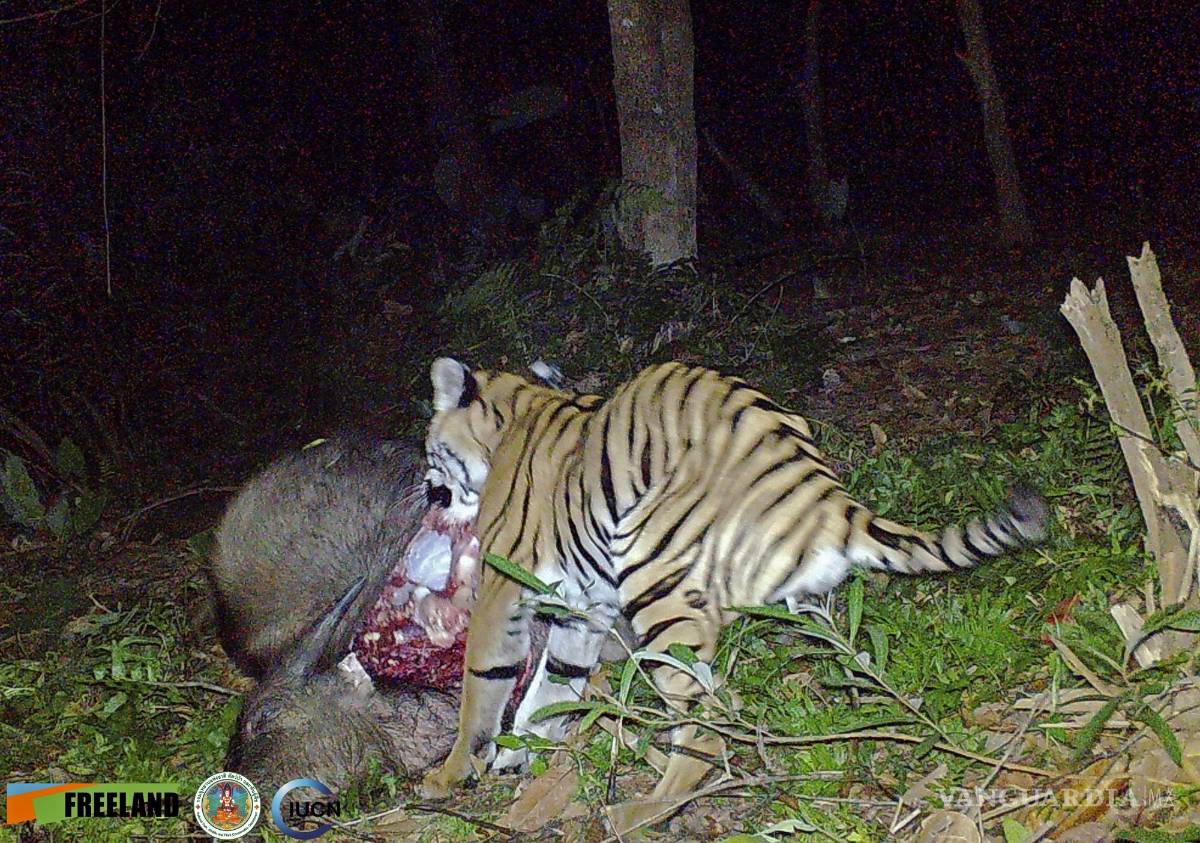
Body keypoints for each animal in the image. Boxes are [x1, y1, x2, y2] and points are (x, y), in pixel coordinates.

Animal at [417, 357, 1047, 830]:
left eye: (429, 449)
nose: (428, 489)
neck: (514, 418)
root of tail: (828, 497)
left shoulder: (505, 590)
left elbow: (485, 686)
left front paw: (452, 773)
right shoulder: (583, 606)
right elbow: (554, 686)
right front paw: (520, 753)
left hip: (657, 583)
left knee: (708, 724)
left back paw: (638, 812)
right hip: (806, 607)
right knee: (844, 666)